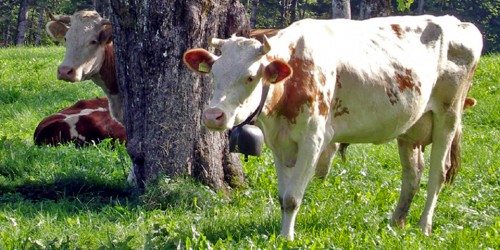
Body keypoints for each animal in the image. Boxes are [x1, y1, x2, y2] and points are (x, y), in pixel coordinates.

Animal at [185, 14, 484, 239]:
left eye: (250, 77)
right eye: (214, 73)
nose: (213, 115)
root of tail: (459, 23)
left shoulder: (313, 140)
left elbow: (293, 197)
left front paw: (286, 238)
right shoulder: (279, 143)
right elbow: (283, 196)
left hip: (448, 116)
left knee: (437, 174)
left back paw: (424, 226)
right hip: (411, 127)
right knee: (412, 174)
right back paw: (396, 222)